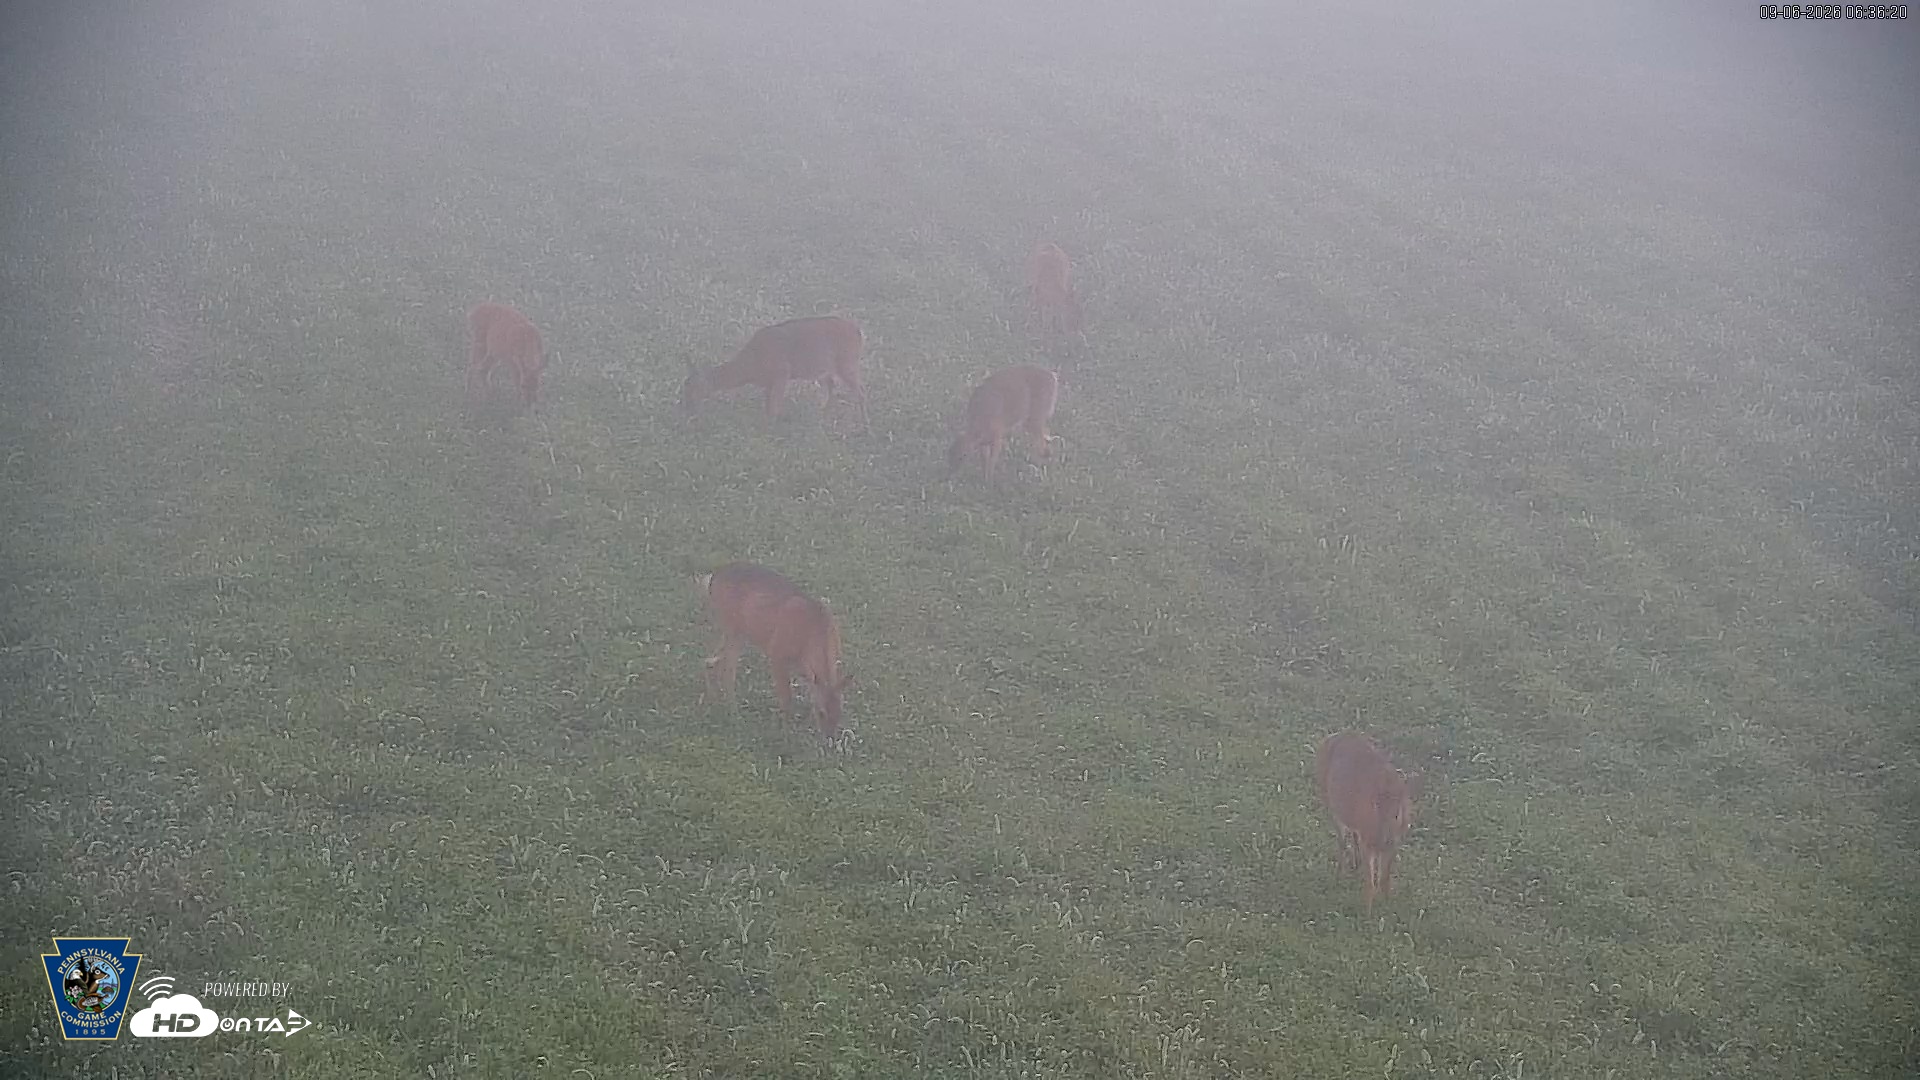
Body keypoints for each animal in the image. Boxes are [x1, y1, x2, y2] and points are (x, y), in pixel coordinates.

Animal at [681, 315, 869, 425]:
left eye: (694, 389)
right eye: (684, 387)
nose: (688, 411)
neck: (751, 365)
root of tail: (858, 331)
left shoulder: (782, 371)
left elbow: (774, 407)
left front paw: (771, 429)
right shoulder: (768, 381)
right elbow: (767, 404)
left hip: (847, 362)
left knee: (860, 391)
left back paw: (863, 426)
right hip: (824, 367)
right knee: (831, 387)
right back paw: (822, 416)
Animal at [697, 562, 850, 738]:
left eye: (840, 713)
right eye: (821, 712)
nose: (829, 737)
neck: (815, 632)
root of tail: (713, 577)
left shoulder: (804, 666)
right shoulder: (777, 653)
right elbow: (787, 697)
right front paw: (785, 730)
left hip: (735, 632)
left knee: (709, 660)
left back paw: (713, 701)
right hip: (733, 629)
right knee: (727, 672)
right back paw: (735, 715)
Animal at [1316, 732, 1422, 914]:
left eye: (1397, 813)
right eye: (1377, 806)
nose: (1387, 836)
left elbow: (1381, 880)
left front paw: (1383, 909)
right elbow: (1375, 882)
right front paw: (1371, 913)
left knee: (1348, 840)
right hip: (1332, 804)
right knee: (1345, 841)